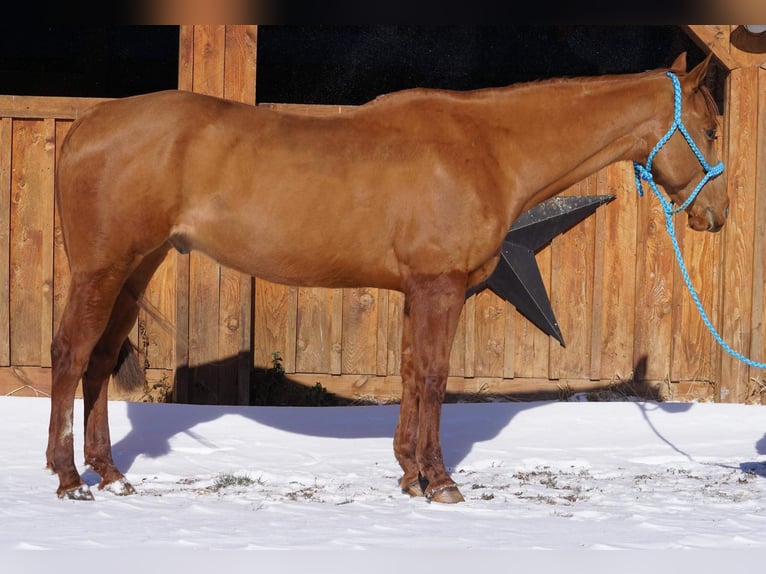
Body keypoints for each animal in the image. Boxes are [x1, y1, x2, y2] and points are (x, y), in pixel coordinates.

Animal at [45, 54, 728, 504]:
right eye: (712, 128)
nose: (716, 215)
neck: (486, 148)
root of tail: (85, 128)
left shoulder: (416, 291)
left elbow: (408, 372)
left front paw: (408, 474)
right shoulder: (440, 286)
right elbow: (433, 376)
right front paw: (441, 482)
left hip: (136, 270)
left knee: (100, 361)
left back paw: (111, 474)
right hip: (102, 269)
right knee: (71, 354)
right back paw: (70, 478)